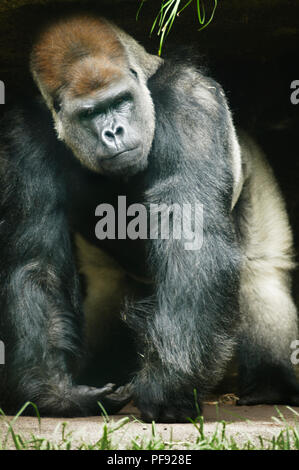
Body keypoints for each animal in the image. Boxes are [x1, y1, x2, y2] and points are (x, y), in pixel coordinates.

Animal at [0, 14, 299, 422]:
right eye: (89, 113)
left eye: (120, 101)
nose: (113, 132)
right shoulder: (21, 135)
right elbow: (36, 263)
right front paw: (52, 392)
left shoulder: (192, 102)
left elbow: (192, 243)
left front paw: (168, 386)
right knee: (104, 289)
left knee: (262, 272)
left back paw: (271, 387)